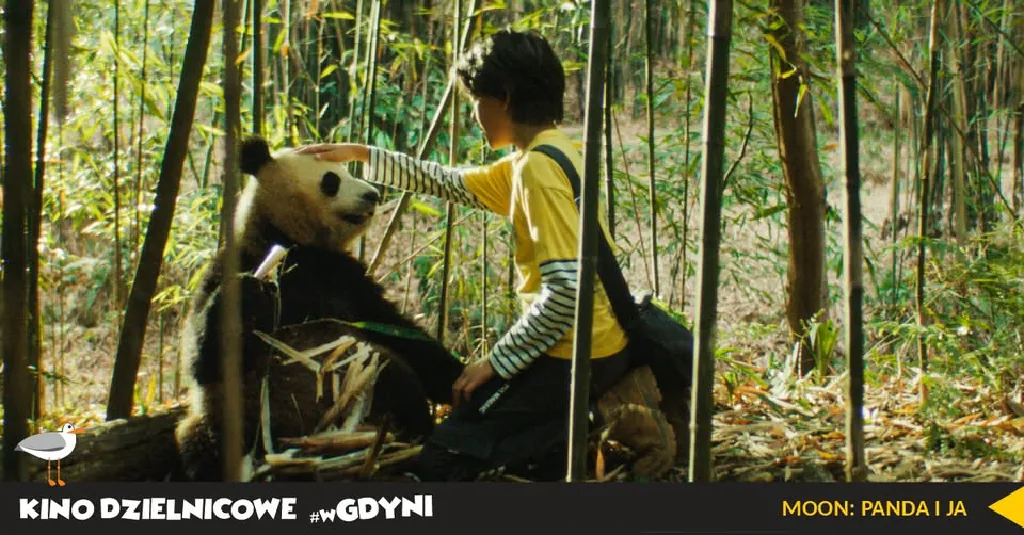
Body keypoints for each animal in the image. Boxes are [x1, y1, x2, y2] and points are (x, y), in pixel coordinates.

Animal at [174, 136, 465, 481]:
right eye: (331, 180)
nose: (373, 194)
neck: (293, 244)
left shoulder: (346, 280)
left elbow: (399, 330)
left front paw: (461, 378)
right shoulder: (235, 262)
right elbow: (202, 359)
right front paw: (248, 289)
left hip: (368, 382)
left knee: (394, 373)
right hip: (230, 421)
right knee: (201, 443)